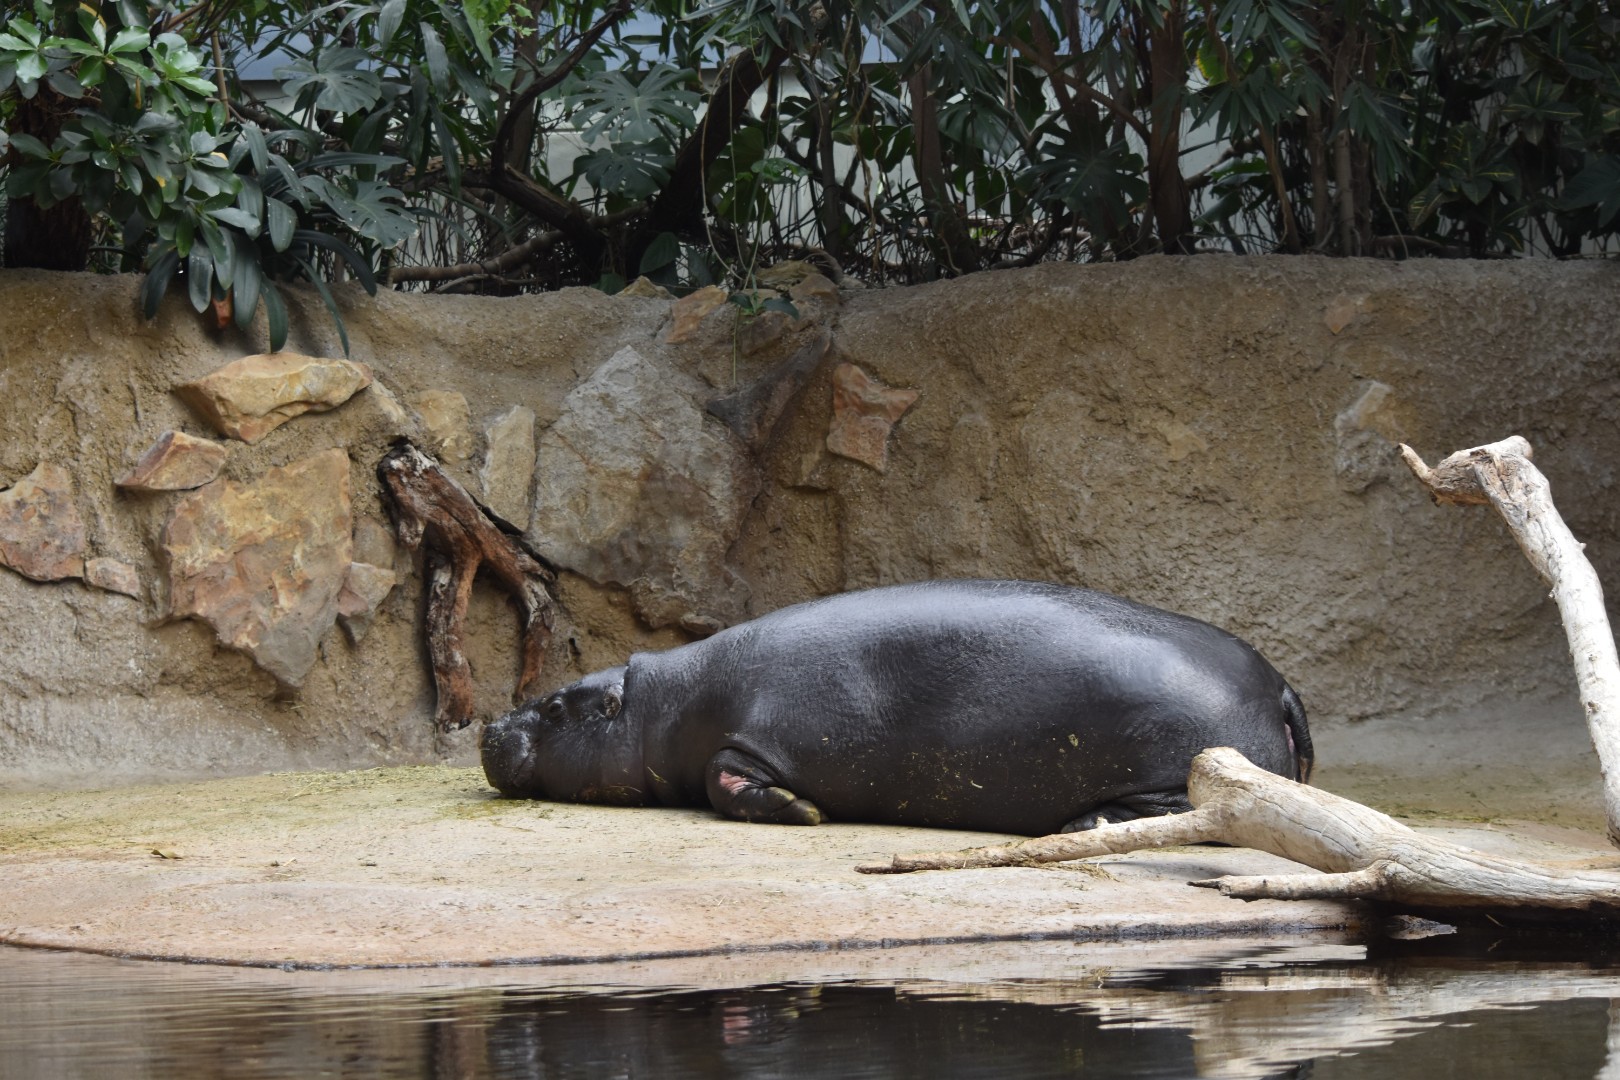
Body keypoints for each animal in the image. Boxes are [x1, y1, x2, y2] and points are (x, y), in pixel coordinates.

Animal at [480, 580, 1312, 836]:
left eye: (553, 707)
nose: (489, 726)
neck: (663, 701)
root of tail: (1279, 680)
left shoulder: (754, 743)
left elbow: (725, 777)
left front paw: (800, 811)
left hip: (1185, 765)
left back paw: (1085, 825)